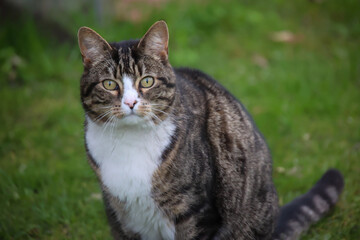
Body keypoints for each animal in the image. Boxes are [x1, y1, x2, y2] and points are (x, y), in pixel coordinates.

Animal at [78, 21, 344, 240]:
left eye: (147, 81)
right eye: (109, 84)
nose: (131, 102)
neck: (129, 142)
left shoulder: (197, 212)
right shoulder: (120, 218)